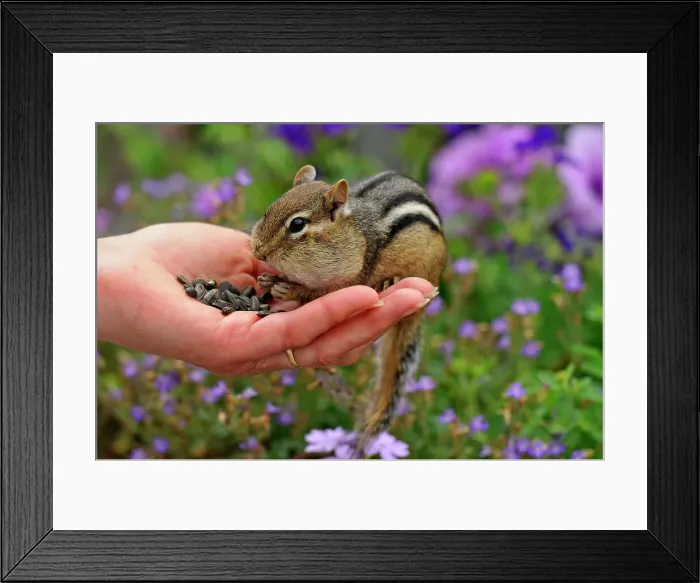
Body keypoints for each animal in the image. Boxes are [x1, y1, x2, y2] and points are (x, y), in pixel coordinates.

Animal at [250, 164, 447, 457]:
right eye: (268, 211)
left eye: (297, 224)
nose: (258, 252)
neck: (351, 233)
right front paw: (268, 280)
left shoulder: (354, 277)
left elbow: (321, 291)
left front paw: (288, 288)